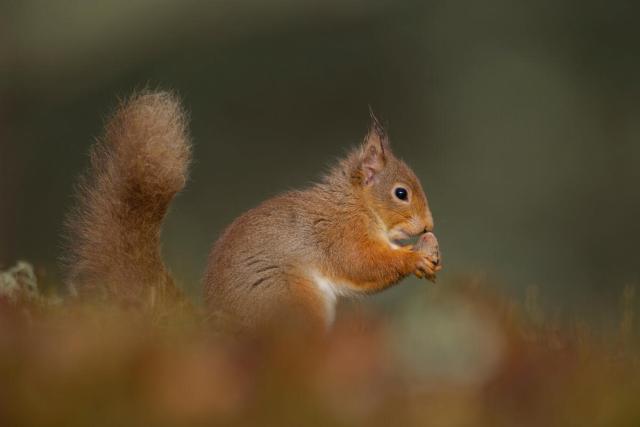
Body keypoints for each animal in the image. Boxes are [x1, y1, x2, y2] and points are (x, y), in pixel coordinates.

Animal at [65, 90, 442, 329]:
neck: (355, 204)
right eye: (401, 193)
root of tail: (216, 330)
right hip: (291, 301)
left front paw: (431, 250)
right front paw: (415, 257)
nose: (428, 225)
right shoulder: (337, 233)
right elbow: (362, 263)